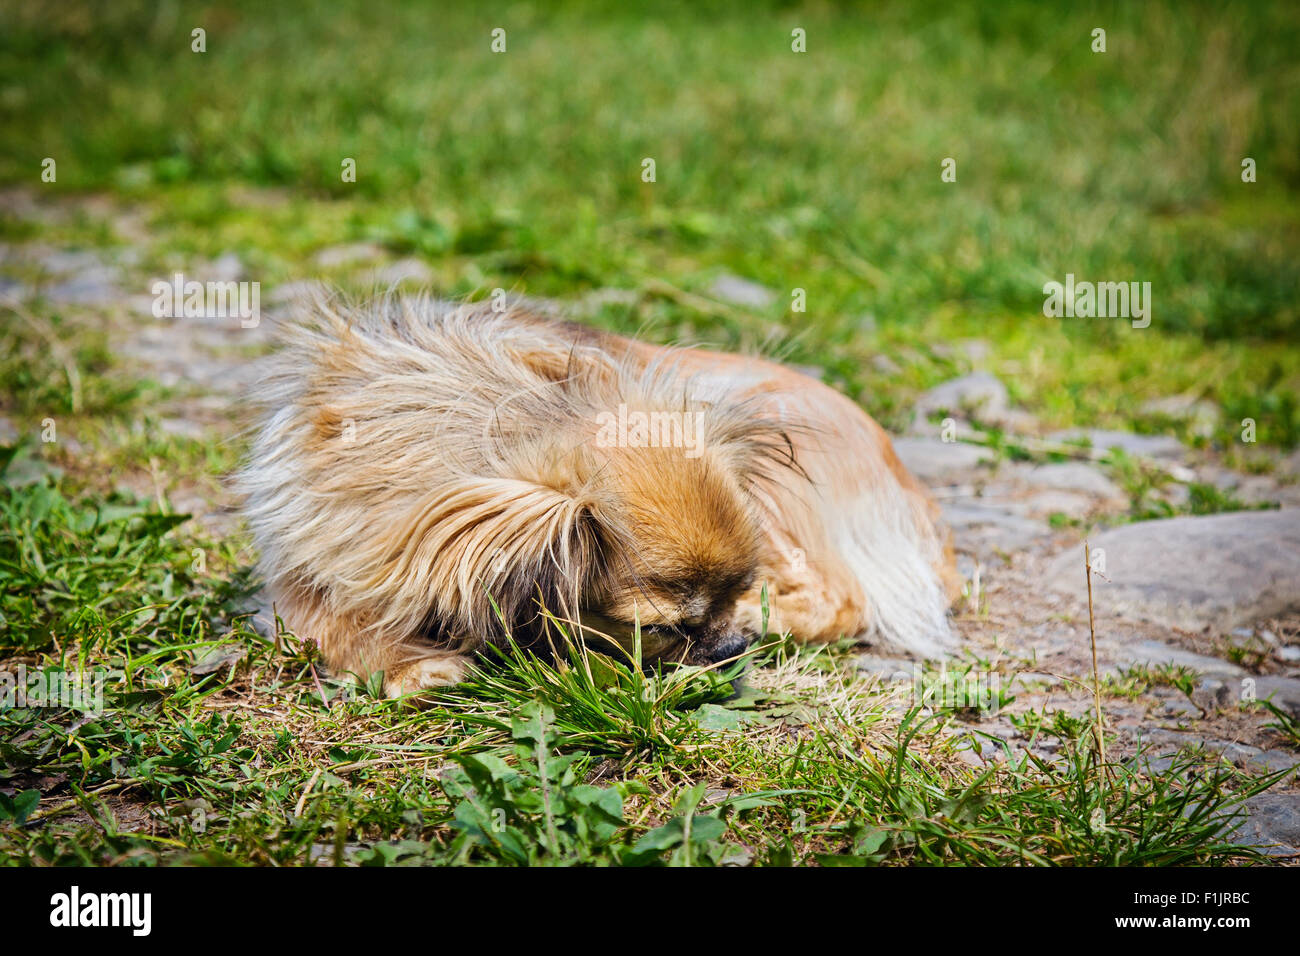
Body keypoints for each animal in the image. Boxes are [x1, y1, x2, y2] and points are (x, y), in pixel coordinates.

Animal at [239, 293, 961, 697]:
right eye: (662, 629)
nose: (729, 648)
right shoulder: (299, 575)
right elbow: (327, 624)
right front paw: (412, 668)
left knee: (844, 600)